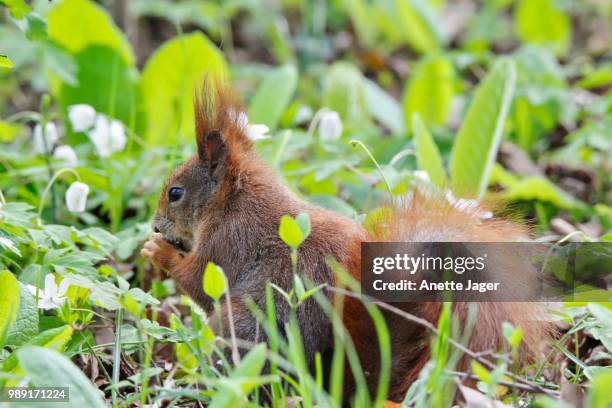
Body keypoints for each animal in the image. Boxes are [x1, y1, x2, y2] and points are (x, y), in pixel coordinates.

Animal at [141, 83, 552, 402]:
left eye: (175, 193)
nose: (156, 225)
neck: (235, 199)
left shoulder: (229, 241)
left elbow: (200, 282)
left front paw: (157, 251)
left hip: (242, 331)